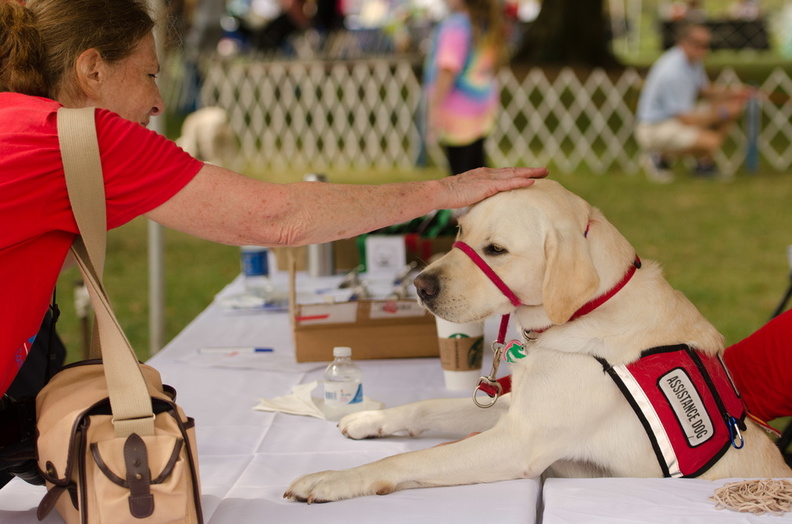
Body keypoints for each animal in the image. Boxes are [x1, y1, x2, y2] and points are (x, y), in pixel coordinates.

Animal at [284, 179, 784, 504]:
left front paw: (331, 479)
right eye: (460, 231)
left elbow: (410, 461)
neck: (582, 315)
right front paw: (369, 418)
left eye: (496, 250)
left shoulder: (520, 441)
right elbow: (427, 407)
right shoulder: (510, 408)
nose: (420, 286)